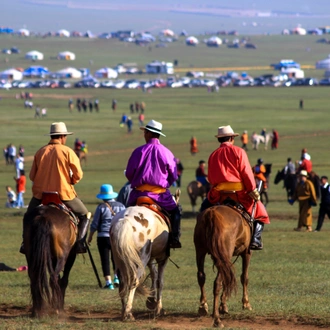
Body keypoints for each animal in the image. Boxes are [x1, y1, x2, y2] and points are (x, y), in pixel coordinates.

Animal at [109, 189, 179, 320]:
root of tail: (125, 220)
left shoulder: (150, 258)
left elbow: (154, 275)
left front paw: (151, 301)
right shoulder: (162, 258)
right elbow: (160, 281)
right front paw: (158, 308)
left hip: (119, 258)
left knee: (122, 281)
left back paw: (123, 311)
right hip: (142, 256)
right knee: (134, 281)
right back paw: (128, 312)